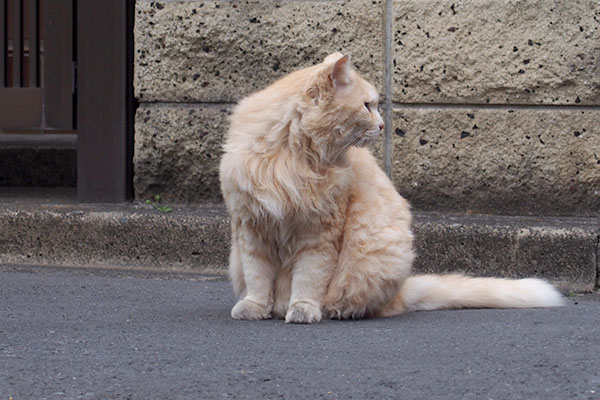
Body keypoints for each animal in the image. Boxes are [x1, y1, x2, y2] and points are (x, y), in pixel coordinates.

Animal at [218, 53, 564, 324]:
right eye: (367, 106)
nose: (383, 125)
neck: (292, 154)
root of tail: (399, 292)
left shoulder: (318, 233)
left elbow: (308, 278)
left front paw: (303, 309)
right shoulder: (252, 228)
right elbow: (258, 277)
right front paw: (255, 308)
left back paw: (331, 310)